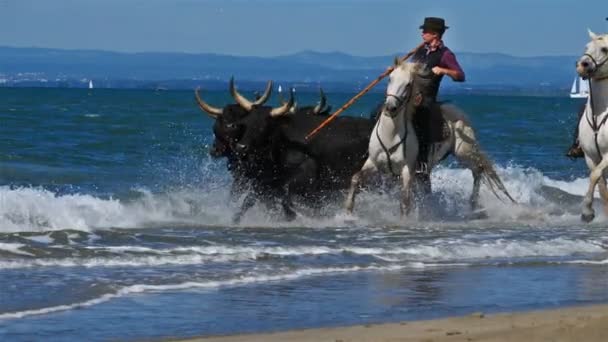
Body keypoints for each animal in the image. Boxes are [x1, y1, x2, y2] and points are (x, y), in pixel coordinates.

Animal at [346, 59, 512, 216]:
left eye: (408, 84)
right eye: (390, 79)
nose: (390, 108)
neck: (391, 135)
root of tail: (460, 113)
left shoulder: (408, 168)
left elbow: (405, 200)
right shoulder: (373, 162)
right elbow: (355, 178)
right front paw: (348, 212)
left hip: (464, 151)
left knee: (479, 169)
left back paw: (473, 204)